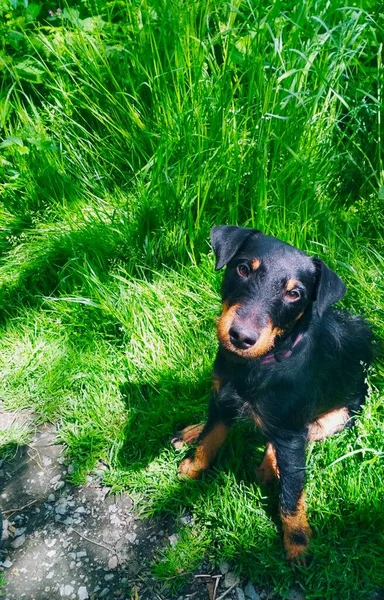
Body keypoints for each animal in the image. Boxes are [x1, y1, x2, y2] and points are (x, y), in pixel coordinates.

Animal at [172, 227, 374, 564]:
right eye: (242, 269)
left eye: (294, 294)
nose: (241, 337)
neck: (260, 363)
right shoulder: (222, 394)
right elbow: (211, 436)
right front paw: (192, 467)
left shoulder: (291, 430)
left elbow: (292, 494)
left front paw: (298, 544)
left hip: (337, 417)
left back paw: (270, 467)